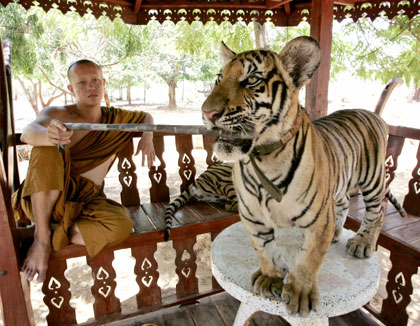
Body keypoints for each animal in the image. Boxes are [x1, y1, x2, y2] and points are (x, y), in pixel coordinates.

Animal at [202, 35, 406, 316]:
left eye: (251, 80)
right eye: (218, 79)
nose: (207, 113)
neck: (264, 156)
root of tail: (370, 112)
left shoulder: (319, 218)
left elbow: (309, 258)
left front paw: (300, 294)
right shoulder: (252, 216)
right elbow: (264, 249)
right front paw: (270, 278)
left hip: (372, 180)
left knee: (378, 211)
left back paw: (362, 243)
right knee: (343, 203)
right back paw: (336, 233)